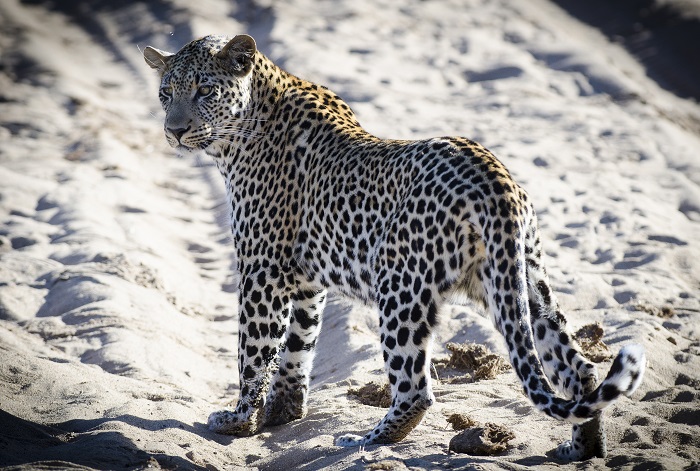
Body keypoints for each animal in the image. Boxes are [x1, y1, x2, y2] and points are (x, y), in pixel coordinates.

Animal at [143, 34, 645, 460]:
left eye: (205, 90)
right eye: (166, 93)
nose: (175, 130)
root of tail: (493, 175)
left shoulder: (262, 271)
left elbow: (253, 350)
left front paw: (238, 419)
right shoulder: (305, 279)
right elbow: (298, 345)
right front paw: (282, 411)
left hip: (400, 288)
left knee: (415, 389)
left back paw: (363, 441)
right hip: (521, 283)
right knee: (578, 370)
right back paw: (580, 449)